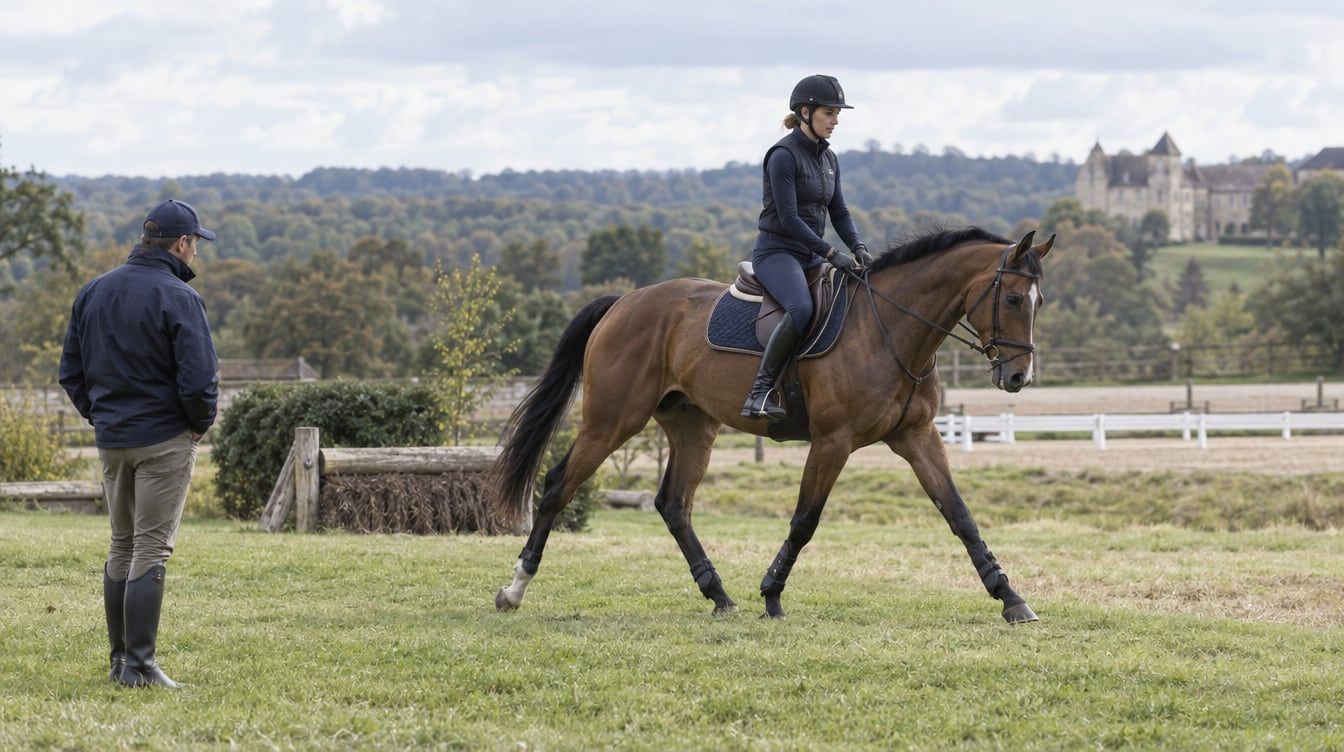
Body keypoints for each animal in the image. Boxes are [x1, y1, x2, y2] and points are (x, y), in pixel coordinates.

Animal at [490, 227, 1054, 623]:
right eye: (1011, 299)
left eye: (1039, 302)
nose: (1018, 377)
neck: (891, 328)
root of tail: (624, 302)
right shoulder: (833, 441)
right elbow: (805, 520)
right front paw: (772, 593)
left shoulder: (916, 436)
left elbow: (960, 515)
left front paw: (1010, 597)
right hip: (612, 420)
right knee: (559, 486)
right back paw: (514, 588)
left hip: (693, 427)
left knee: (673, 504)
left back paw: (718, 595)